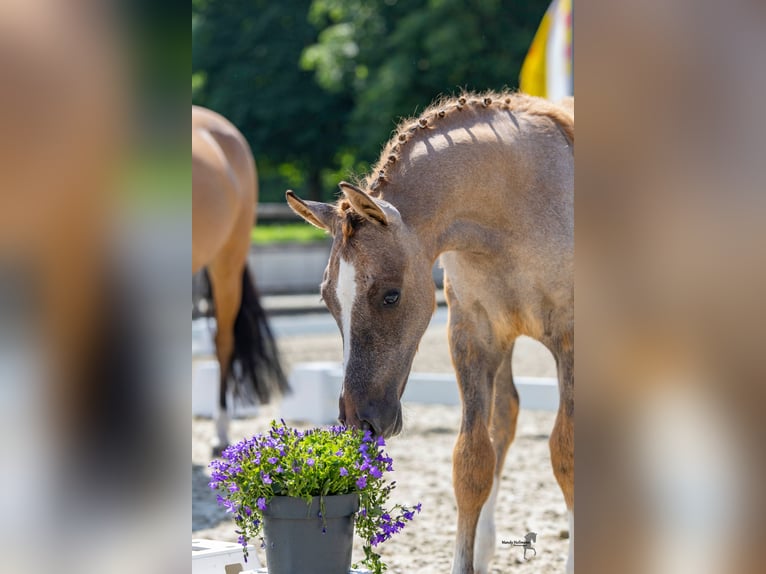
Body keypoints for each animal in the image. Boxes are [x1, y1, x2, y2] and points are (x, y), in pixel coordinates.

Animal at [288, 93, 576, 574]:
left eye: (390, 295)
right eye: (327, 299)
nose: (360, 421)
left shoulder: (572, 341)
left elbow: (566, 453)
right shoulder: (474, 336)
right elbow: (472, 461)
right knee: (505, 417)